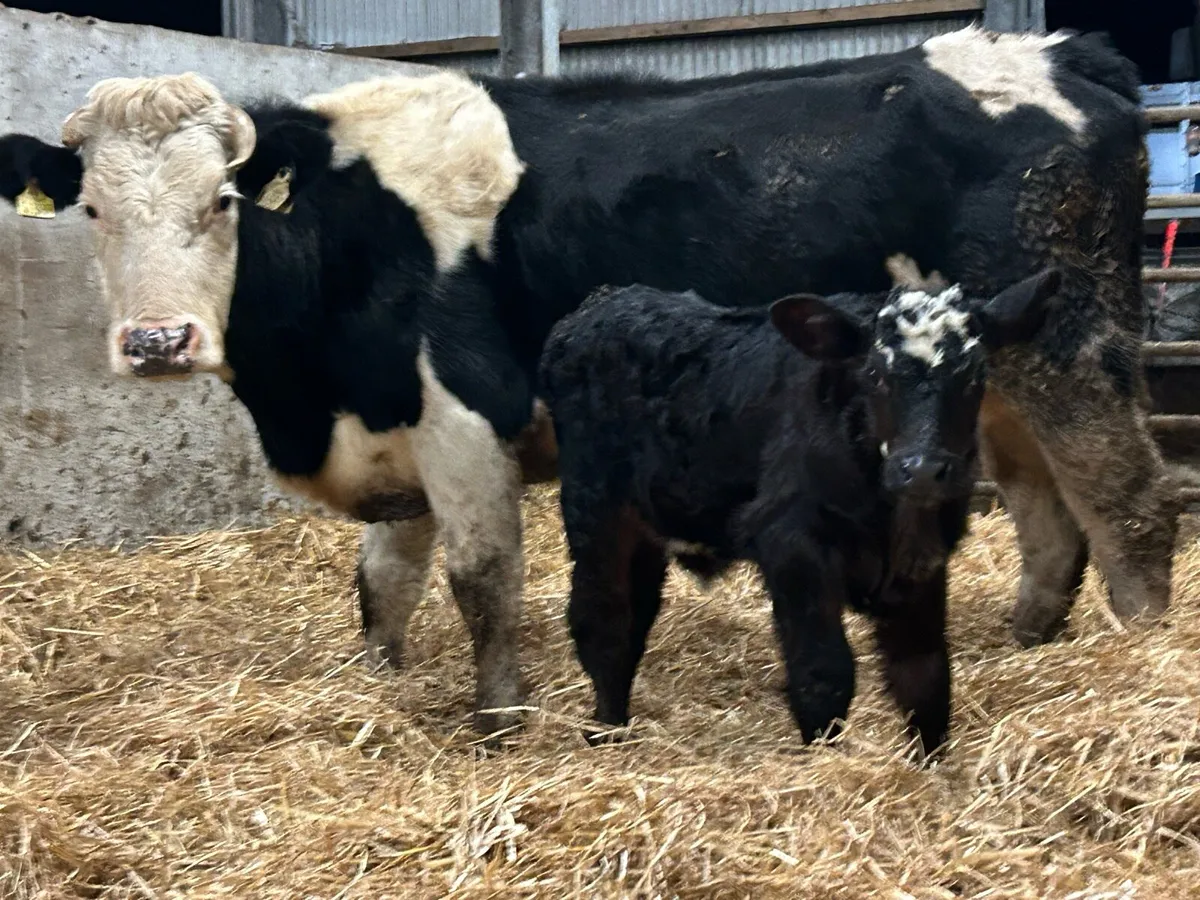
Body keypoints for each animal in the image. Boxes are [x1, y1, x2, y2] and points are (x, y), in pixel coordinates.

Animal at [539, 270, 1062, 757]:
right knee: (602, 622)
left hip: (647, 527)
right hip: (596, 509)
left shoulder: (924, 560)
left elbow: (925, 676)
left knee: (637, 615)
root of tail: (603, 301)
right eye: (875, 374)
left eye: (974, 376)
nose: (923, 470)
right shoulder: (793, 545)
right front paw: (823, 759)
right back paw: (606, 732)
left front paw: (931, 769)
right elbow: (823, 672)